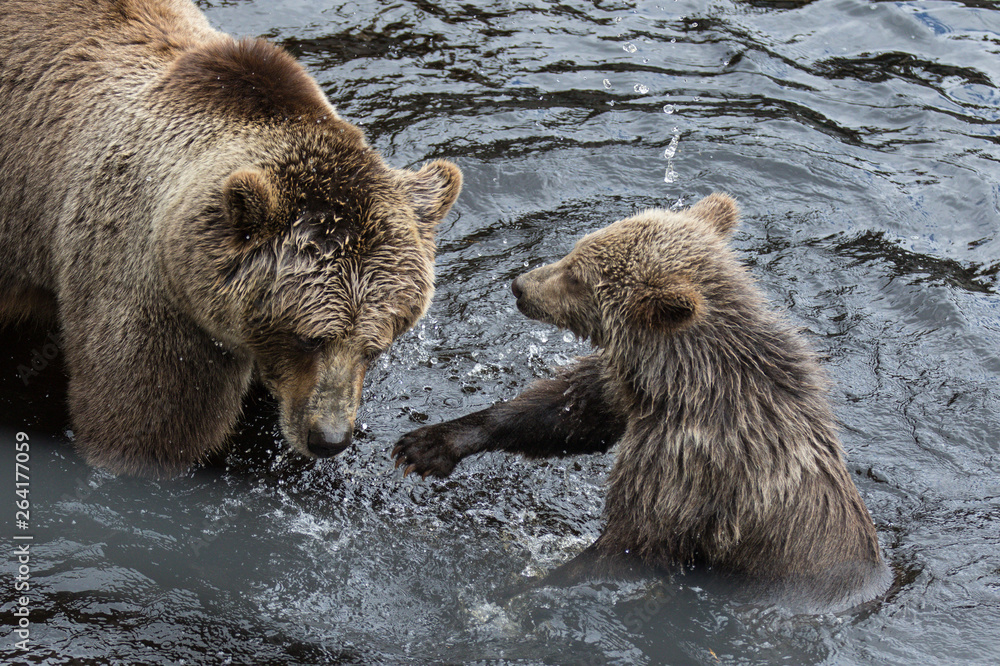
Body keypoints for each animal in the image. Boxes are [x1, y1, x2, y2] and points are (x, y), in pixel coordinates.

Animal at [393, 193, 892, 610]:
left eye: (578, 277)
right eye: (575, 250)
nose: (520, 284)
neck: (683, 383)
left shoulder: (688, 462)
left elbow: (634, 542)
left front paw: (512, 591)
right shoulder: (629, 390)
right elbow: (566, 412)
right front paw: (427, 445)